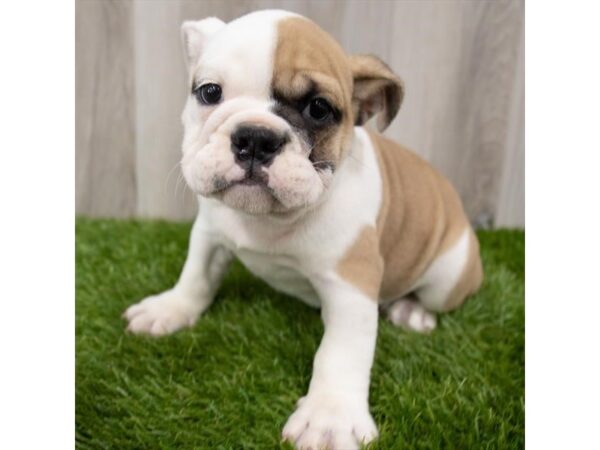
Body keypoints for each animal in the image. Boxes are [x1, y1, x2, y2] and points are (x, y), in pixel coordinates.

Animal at [124, 9, 486, 450]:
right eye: (209, 92)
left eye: (319, 108)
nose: (255, 137)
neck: (270, 219)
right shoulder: (209, 233)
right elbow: (196, 276)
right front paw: (170, 308)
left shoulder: (351, 286)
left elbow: (341, 352)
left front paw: (330, 417)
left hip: (450, 275)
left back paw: (412, 312)